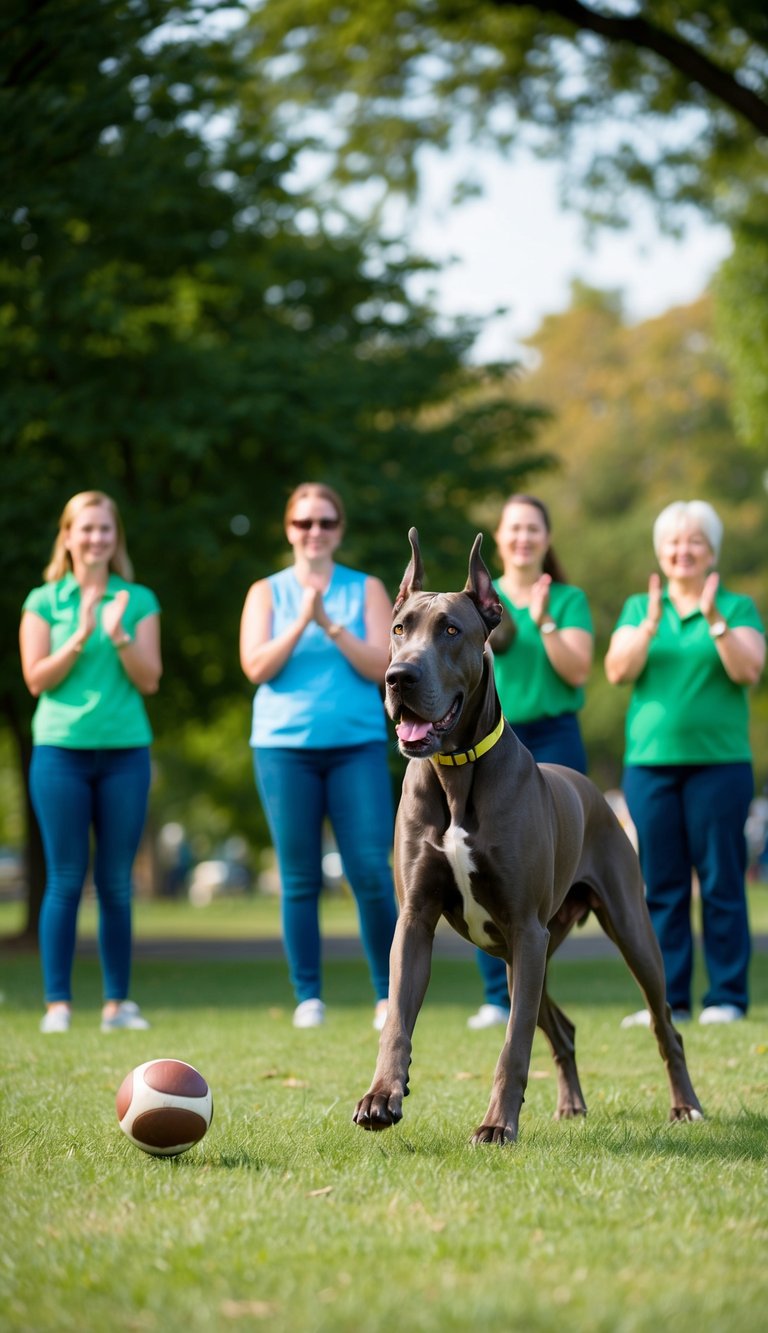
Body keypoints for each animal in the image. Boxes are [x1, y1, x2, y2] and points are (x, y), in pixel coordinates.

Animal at [353, 529, 703, 1144]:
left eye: (451, 630)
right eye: (398, 629)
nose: (399, 678)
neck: (456, 774)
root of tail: (596, 793)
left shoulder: (524, 926)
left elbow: (512, 1044)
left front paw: (497, 1125)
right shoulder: (415, 920)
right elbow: (397, 1018)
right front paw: (381, 1097)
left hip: (621, 932)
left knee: (665, 1025)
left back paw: (685, 1105)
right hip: (522, 956)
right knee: (561, 1028)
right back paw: (571, 1104)